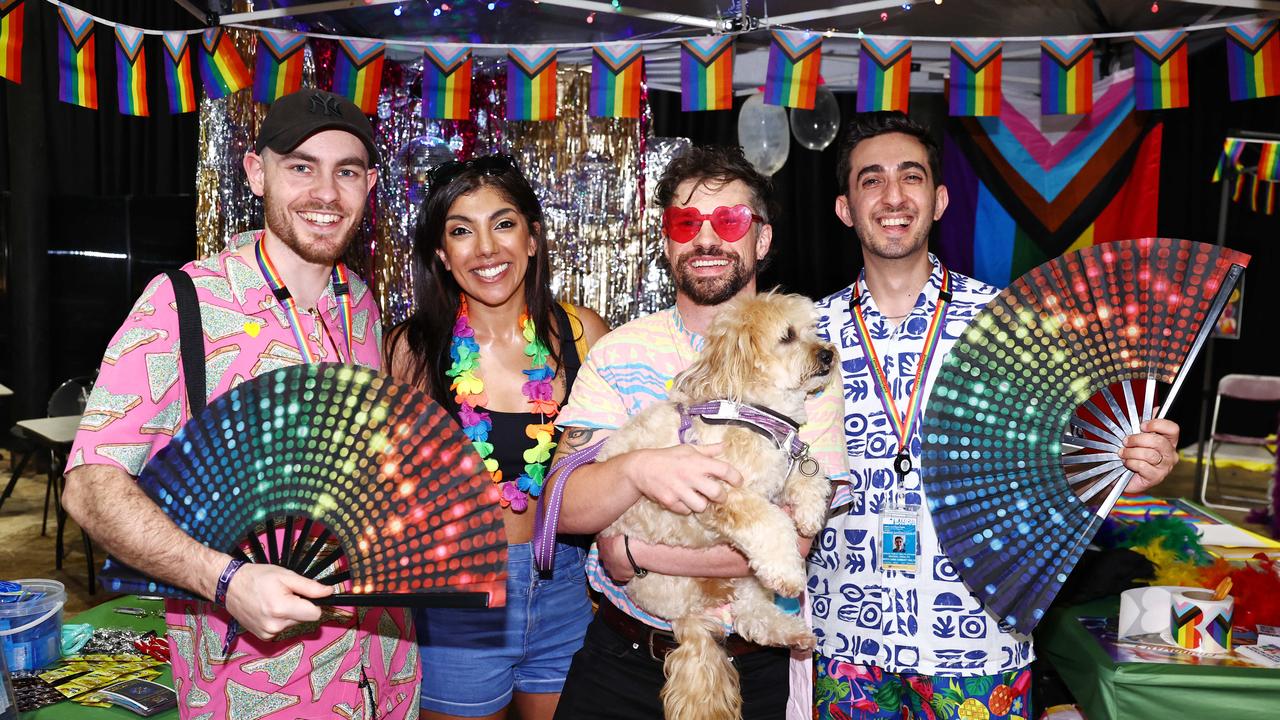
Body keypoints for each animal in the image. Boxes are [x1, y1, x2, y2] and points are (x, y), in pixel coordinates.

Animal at [599, 289, 839, 717]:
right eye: (788, 336)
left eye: (815, 329)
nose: (828, 353)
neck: (757, 414)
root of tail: (686, 619)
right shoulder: (724, 494)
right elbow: (771, 523)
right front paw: (789, 572)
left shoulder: (779, 473)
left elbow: (810, 476)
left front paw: (811, 513)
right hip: (678, 576)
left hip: (743, 573)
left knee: (750, 616)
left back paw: (791, 632)